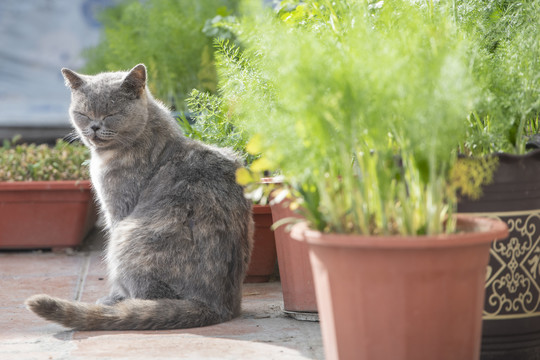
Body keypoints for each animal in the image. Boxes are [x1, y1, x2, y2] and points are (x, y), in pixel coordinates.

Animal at [24, 64, 254, 330]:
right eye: (83, 113)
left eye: (111, 113)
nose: (94, 127)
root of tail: (216, 306)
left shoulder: (118, 210)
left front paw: (114, 297)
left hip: (125, 237)